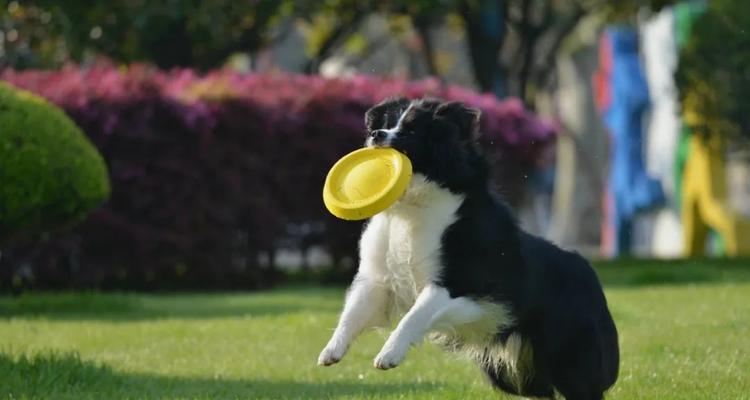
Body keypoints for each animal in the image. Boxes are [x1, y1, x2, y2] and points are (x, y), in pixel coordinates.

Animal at [318, 97, 624, 400]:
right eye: (387, 123)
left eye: (410, 131)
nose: (375, 134)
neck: (411, 207)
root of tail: (591, 274)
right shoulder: (380, 278)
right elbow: (354, 311)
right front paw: (330, 351)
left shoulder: (457, 283)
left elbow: (415, 315)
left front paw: (388, 355)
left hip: (570, 349)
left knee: (582, 385)